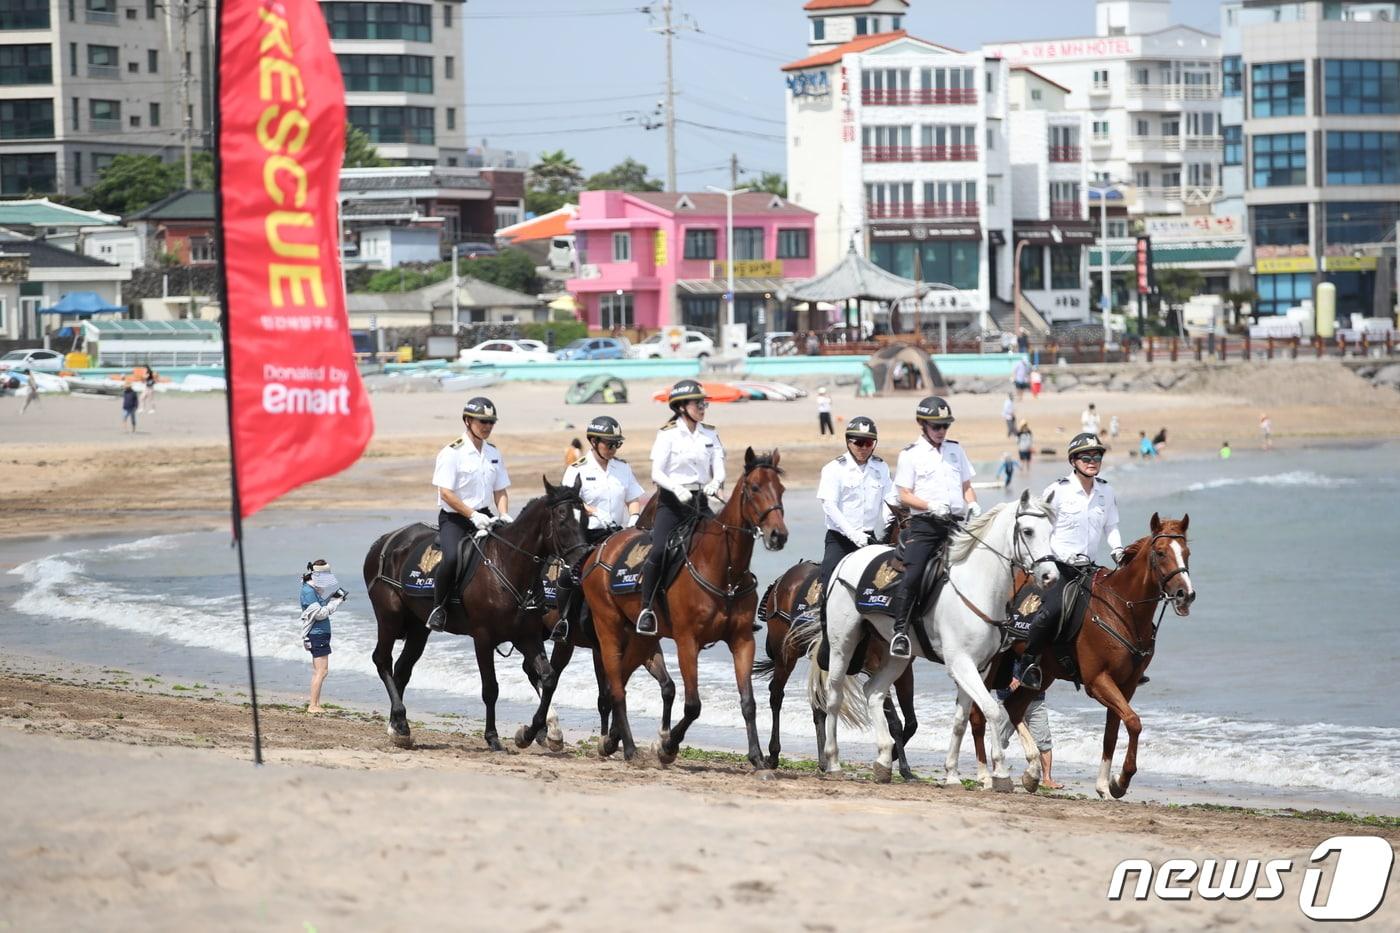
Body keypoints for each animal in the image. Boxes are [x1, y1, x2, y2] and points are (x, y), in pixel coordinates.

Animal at [364, 479, 588, 750]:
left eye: (585, 517)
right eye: (562, 518)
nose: (580, 561)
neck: (506, 564)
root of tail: (384, 541)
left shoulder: (527, 636)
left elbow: (548, 678)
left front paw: (530, 733)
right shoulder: (483, 637)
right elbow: (490, 689)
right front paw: (492, 737)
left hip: (418, 628)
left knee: (402, 669)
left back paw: (397, 728)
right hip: (389, 618)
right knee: (382, 660)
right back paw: (400, 720)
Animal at [574, 448, 789, 762]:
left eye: (781, 489)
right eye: (754, 488)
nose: (778, 535)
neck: (724, 571)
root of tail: (601, 548)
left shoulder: (742, 640)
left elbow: (748, 702)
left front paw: (757, 757)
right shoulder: (688, 641)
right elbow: (693, 705)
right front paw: (667, 745)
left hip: (640, 638)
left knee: (622, 679)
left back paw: (613, 739)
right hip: (608, 628)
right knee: (616, 688)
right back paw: (629, 747)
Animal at [756, 504, 918, 773]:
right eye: (905, 526)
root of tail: (782, 581)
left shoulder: (904, 671)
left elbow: (909, 722)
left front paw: (900, 763)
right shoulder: (873, 667)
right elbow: (893, 718)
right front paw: (895, 761)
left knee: (818, 706)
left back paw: (824, 760)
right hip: (786, 652)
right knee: (776, 694)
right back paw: (774, 754)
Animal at [806, 490, 1052, 790]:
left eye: (1051, 530)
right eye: (1028, 531)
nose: (1050, 575)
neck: (976, 585)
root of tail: (848, 559)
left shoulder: (979, 668)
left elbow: (961, 720)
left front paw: (953, 774)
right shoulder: (961, 664)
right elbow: (992, 710)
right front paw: (1001, 774)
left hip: (896, 656)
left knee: (873, 692)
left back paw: (884, 761)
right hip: (844, 644)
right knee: (834, 695)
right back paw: (833, 761)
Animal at [968, 512, 1198, 795]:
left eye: (1186, 552)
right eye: (1161, 552)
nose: (1185, 595)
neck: (1122, 609)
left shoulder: (1126, 685)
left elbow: (1113, 733)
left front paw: (1105, 785)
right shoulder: (1098, 681)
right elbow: (1134, 722)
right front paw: (1121, 780)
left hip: (1043, 675)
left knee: (1013, 707)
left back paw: (1032, 771)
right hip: (990, 665)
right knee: (978, 715)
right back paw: (985, 776)